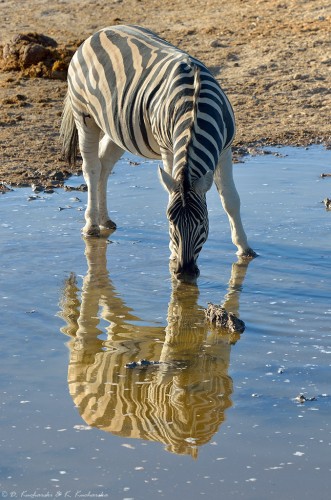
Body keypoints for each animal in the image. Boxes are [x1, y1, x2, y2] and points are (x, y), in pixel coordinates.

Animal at [60, 24, 256, 282]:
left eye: (202, 223)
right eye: (170, 222)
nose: (184, 273)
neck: (194, 107)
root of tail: (99, 32)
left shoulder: (224, 149)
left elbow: (230, 200)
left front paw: (244, 248)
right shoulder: (168, 148)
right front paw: (172, 254)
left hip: (118, 128)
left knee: (104, 163)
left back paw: (105, 220)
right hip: (84, 115)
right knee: (91, 168)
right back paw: (91, 226)